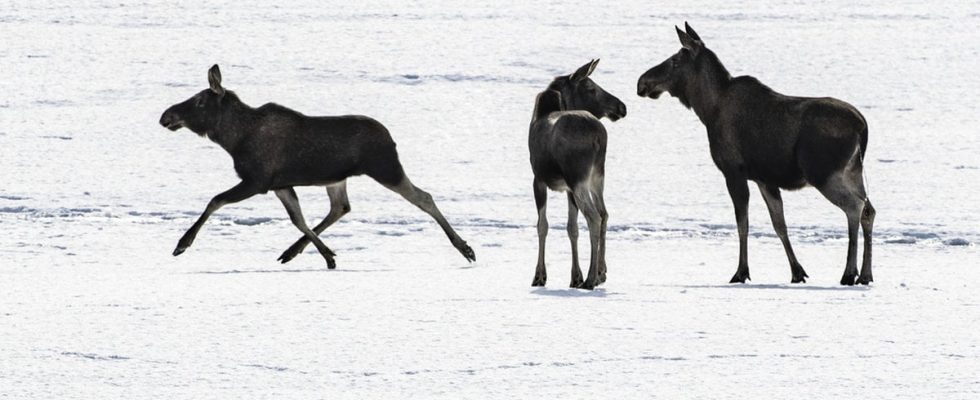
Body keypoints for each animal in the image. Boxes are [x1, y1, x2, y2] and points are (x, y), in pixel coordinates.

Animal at [159, 64, 476, 268]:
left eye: (199, 101)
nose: (166, 116)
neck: (232, 139)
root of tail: (391, 138)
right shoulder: (281, 184)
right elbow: (298, 219)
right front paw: (328, 256)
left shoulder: (257, 181)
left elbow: (215, 201)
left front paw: (182, 243)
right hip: (337, 179)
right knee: (341, 207)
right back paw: (294, 251)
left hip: (386, 168)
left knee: (424, 197)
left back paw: (465, 248)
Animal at [528, 59, 628, 290]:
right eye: (591, 87)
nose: (622, 107)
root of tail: (599, 136)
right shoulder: (567, 188)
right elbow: (571, 228)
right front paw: (575, 276)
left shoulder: (538, 179)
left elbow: (542, 225)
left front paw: (539, 276)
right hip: (597, 176)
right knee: (604, 213)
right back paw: (600, 273)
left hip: (578, 178)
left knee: (594, 217)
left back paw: (591, 279)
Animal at [640, 23, 876, 284]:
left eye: (674, 60)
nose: (642, 82)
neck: (707, 109)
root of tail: (862, 126)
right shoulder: (765, 179)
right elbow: (779, 224)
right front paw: (797, 272)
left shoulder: (733, 171)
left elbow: (742, 223)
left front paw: (741, 271)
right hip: (853, 171)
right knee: (869, 210)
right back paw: (866, 274)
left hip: (824, 173)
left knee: (854, 207)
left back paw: (849, 273)